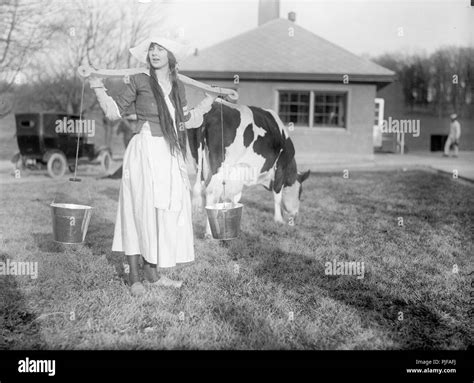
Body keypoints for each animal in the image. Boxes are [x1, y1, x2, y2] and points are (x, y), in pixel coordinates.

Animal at [187, 99, 310, 234]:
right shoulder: (280, 167)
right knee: (211, 191)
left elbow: (234, 197)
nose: (295, 215)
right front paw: (279, 220)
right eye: (300, 192)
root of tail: (210, 109)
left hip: (200, 162)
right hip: (221, 165)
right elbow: (277, 195)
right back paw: (210, 233)